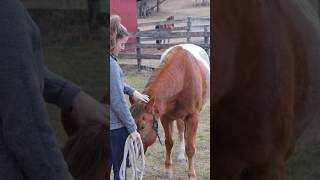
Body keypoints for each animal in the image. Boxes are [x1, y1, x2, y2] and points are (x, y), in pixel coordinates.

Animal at [130, 43, 210, 179]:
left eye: (142, 127)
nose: (130, 159)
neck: (183, 76)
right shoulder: (165, 118)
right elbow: (169, 143)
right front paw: (168, 170)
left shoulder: (193, 117)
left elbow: (190, 148)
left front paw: (191, 175)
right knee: (181, 131)